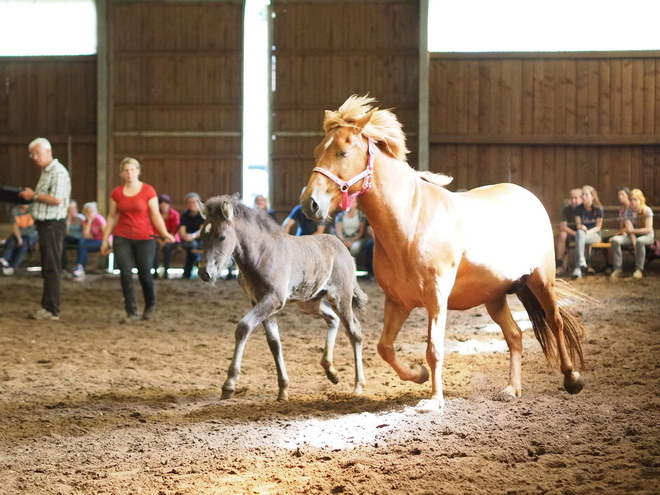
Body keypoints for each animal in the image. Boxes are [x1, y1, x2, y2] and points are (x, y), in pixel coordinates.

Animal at [302, 95, 584, 412]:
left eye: (343, 152)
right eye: (317, 151)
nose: (310, 203)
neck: (411, 222)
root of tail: (529, 197)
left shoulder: (437, 298)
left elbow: (434, 348)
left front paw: (435, 400)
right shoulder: (397, 301)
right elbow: (385, 347)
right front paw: (418, 375)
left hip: (541, 280)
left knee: (555, 322)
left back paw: (572, 379)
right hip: (494, 296)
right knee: (514, 335)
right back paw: (512, 389)